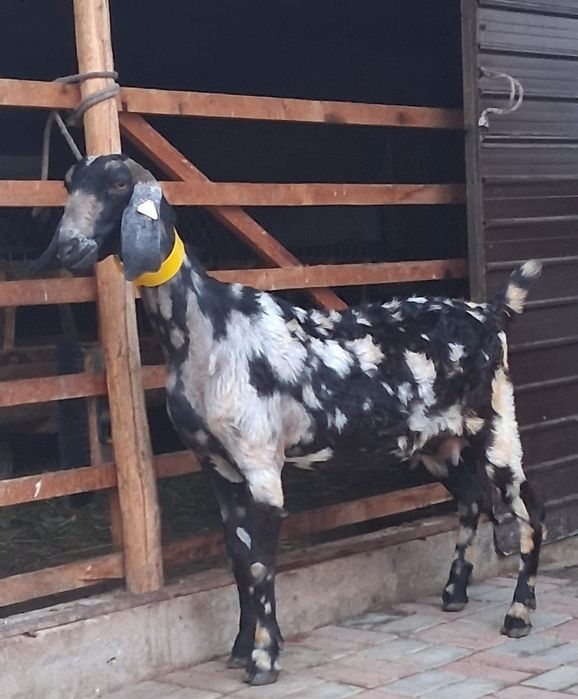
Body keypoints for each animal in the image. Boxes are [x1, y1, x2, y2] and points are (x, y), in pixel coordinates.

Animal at [50, 154, 544, 686]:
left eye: (120, 184)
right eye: (69, 182)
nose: (67, 247)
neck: (207, 327)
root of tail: (491, 311)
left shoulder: (261, 461)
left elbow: (261, 565)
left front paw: (264, 659)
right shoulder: (218, 467)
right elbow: (239, 560)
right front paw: (241, 647)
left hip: (497, 423)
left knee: (528, 506)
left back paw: (518, 614)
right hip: (439, 442)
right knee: (471, 498)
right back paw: (454, 594)